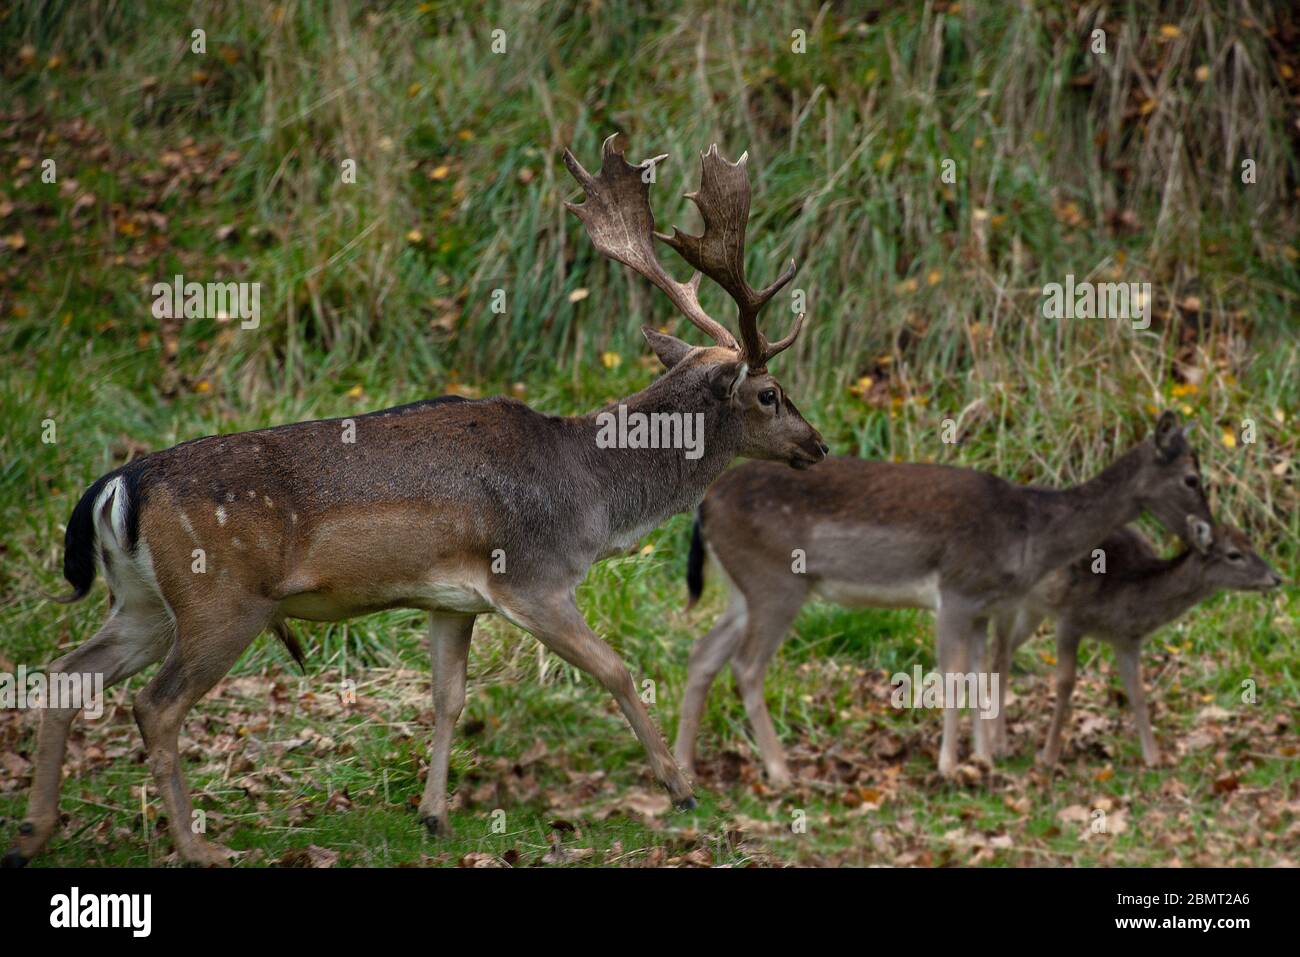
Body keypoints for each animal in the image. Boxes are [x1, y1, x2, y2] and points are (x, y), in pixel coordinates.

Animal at [7, 136, 821, 868]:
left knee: (64, 673)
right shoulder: (534, 578)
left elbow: (448, 698)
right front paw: (680, 789)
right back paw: (196, 845)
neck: (589, 493)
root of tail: (120, 485)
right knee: (156, 705)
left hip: (145, 600)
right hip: (221, 600)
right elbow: (616, 669)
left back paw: (35, 831)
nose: (816, 445)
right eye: (770, 393)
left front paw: (433, 816)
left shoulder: (452, 600)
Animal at [676, 416, 1211, 785]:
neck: (1029, 530)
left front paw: (984, 757)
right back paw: (781, 772)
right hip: (776, 581)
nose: (1207, 531)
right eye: (1191, 478)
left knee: (704, 652)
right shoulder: (955, 590)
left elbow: (979, 672)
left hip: (742, 587)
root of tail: (705, 504)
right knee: (747, 665)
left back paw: (686, 769)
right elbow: (953, 675)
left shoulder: (982, 606)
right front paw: (950, 765)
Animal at [993, 520, 1279, 764]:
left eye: (1250, 543)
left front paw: (1154, 758)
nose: (1277, 578)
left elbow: (1137, 692)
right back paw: (999, 744)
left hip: (1033, 609)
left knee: (1000, 653)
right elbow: (1065, 683)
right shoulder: (1069, 618)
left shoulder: (1127, 640)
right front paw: (1049, 757)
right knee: (1000, 653)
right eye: (1234, 554)